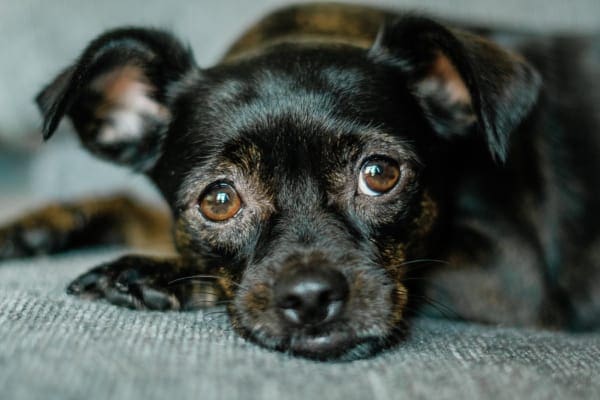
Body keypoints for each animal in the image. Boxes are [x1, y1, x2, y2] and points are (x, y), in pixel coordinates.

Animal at [1, 3, 600, 360]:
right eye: (219, 200)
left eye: (380, 175)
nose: (311, 296)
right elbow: (139, 210)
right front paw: (42, 224)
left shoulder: (511, 277)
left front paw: (151, 272)